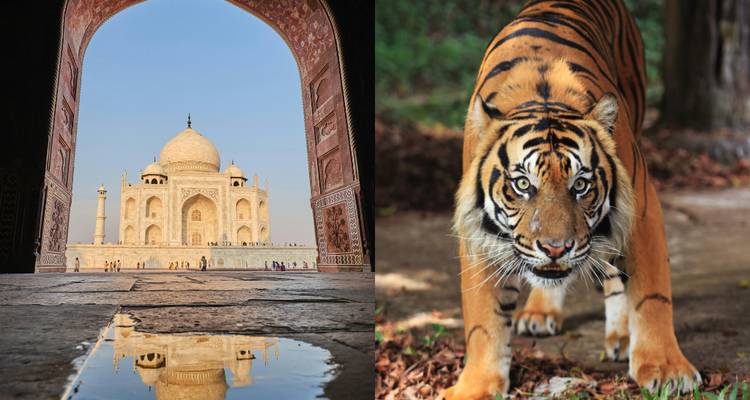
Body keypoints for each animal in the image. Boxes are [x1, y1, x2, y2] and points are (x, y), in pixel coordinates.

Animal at [444, 0, 700, 398]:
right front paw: (477, 385)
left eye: (580, 185)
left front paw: (666, 369)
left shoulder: (640, 210)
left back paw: (621, 336)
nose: (556, 248)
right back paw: (540, 312)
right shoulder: (478, 231)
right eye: (522, 184)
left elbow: (651, 294)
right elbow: (483, 319)